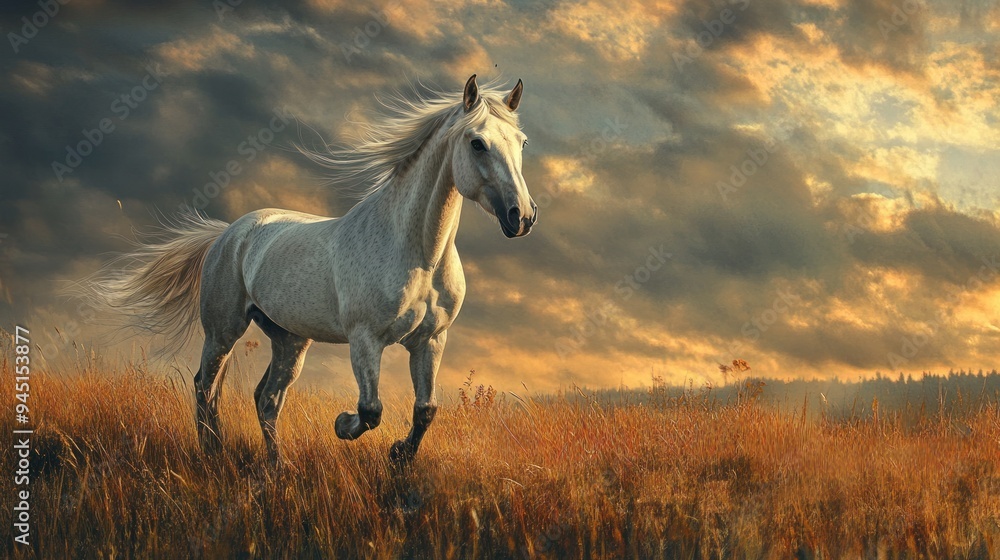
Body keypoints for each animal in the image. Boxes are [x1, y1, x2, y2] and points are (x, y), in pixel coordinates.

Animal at [84, 75, 536, 465]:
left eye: (522, 142)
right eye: (477, 143)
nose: (522, 216)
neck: (418, 254)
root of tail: (228, 233)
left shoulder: (430, 340)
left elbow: (426, 410)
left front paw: (399, 456)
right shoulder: (365, 339)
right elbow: (370, 409)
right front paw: (342, 426)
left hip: (290, 339)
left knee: (266, 399)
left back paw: (277, 465)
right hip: (223, 330)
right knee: (205, 388)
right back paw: (213, 452)